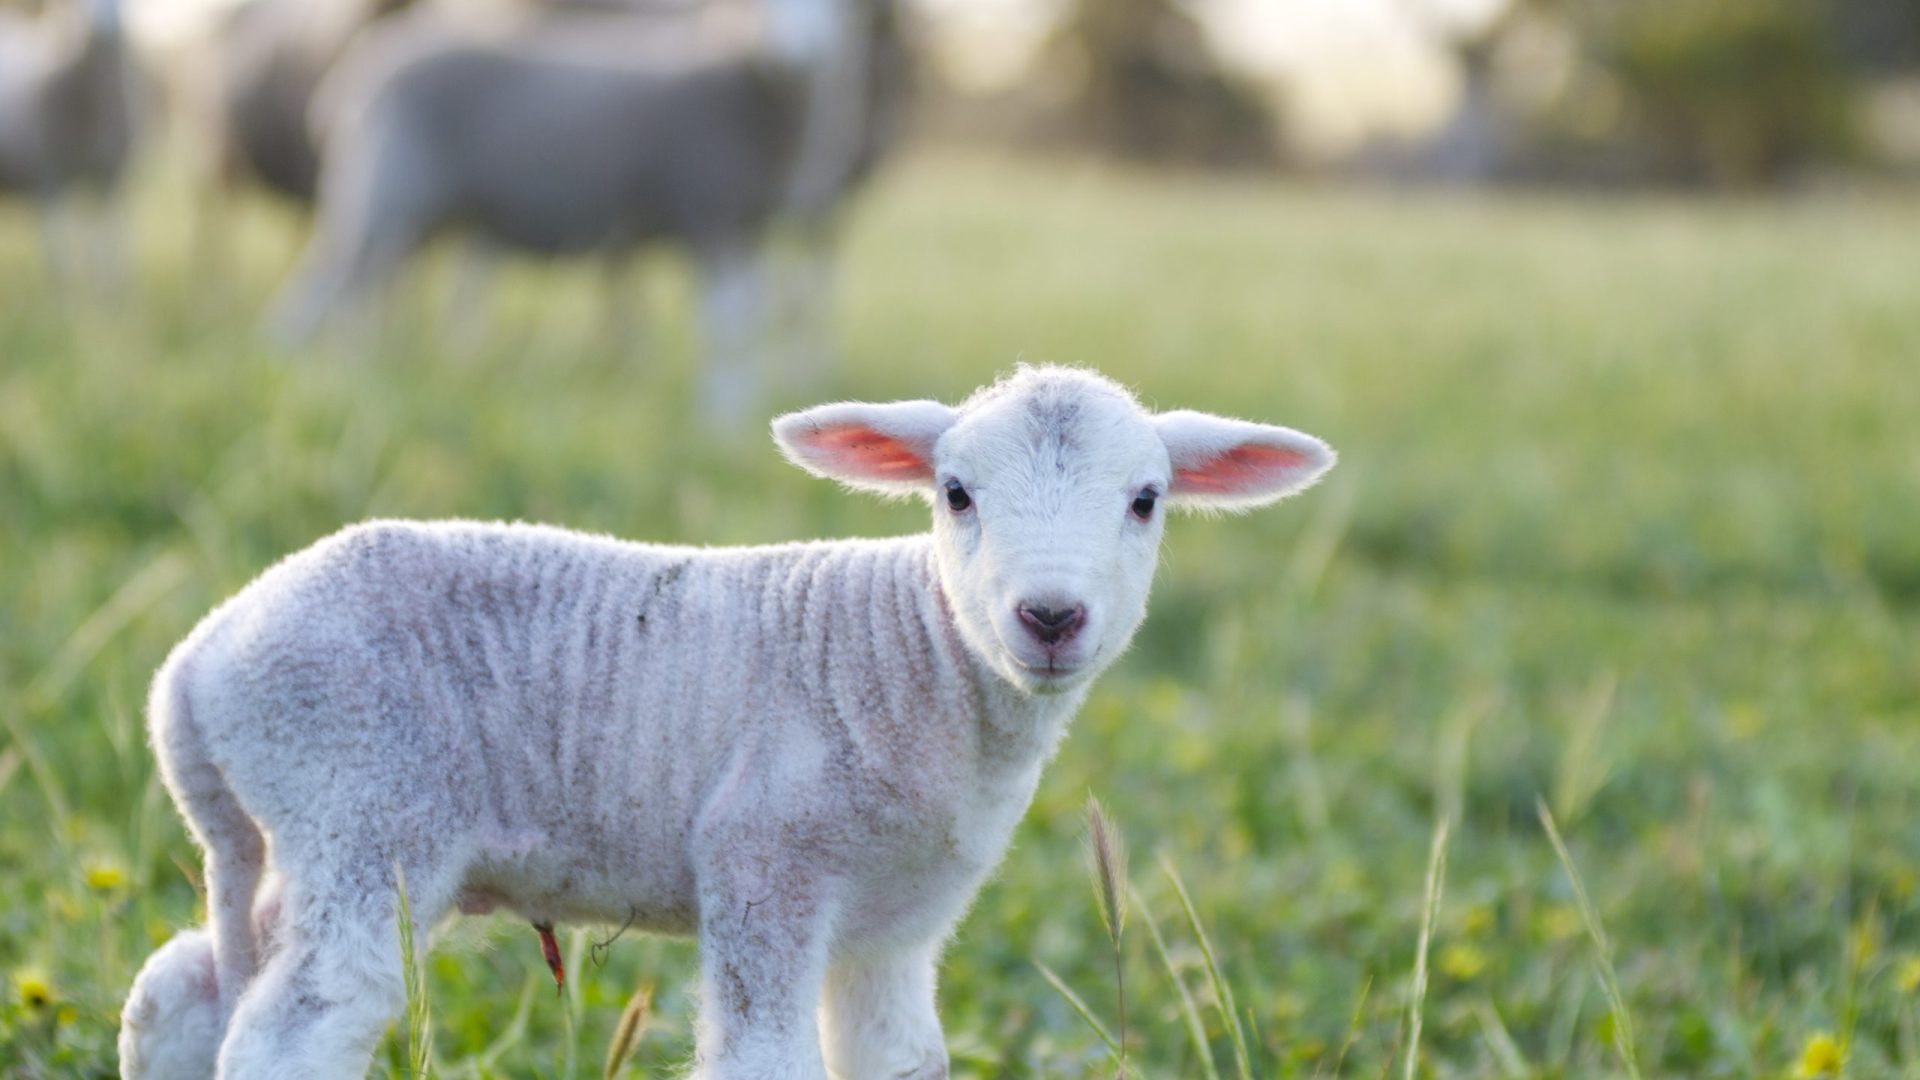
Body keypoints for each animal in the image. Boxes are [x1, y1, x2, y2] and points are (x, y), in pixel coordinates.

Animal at [120, 365, 1336, 1068]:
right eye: (955, 495)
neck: (916, 657)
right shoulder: (762, 863)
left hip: (300, 833)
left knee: (185, 987)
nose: (1048, 617)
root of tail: (195, 664)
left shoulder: (898, 926)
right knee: (295, 1024)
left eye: (1146, 500)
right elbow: (765, 1059)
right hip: (359, 809)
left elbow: (901, 1061)